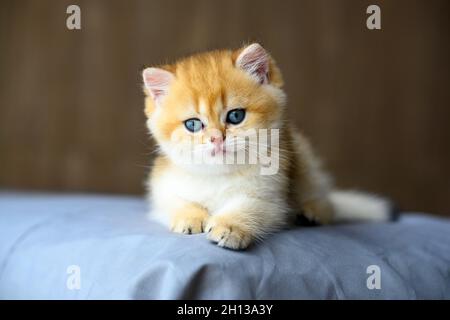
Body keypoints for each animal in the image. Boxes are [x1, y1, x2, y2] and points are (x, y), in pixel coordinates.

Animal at [142, 43, 394, 250]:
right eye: (193, 124)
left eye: (236, 116)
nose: (216, 139)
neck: (220, 174)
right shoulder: (164, 185)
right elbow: (174, 201)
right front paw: (190, 216)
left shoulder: (274, 200)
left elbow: (251, 207)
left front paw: (230, 226)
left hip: (304, 160)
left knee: (328, 203)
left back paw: (312, 212)